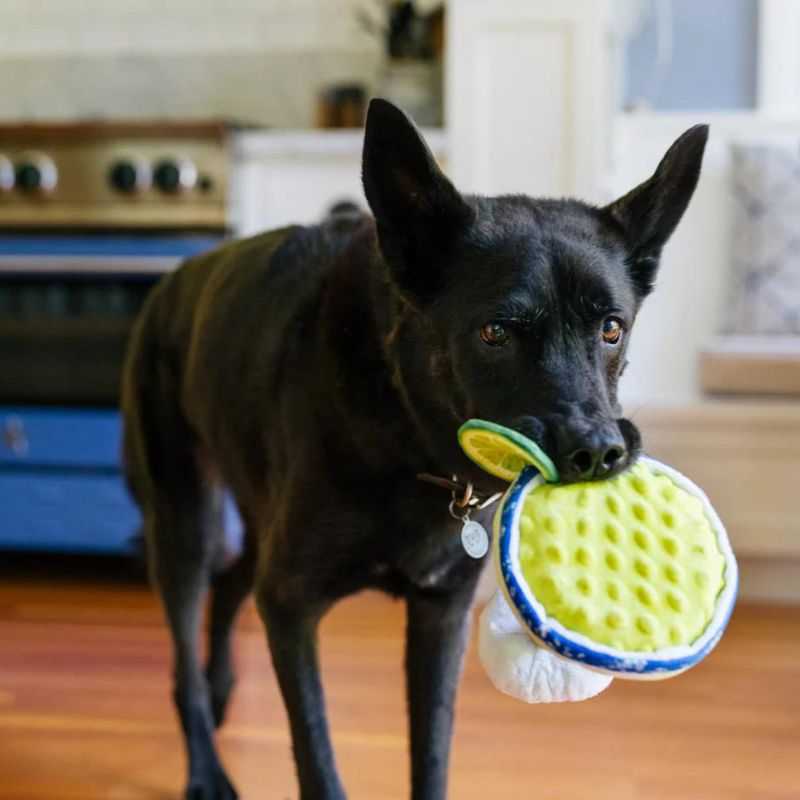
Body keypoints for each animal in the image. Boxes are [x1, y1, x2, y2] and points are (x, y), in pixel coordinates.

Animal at [120, 101, 708, 800]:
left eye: (612, 329)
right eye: (495, 332)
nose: (596, 452)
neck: (409, 437)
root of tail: (172, 282)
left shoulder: (439, 614)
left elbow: (432, 749)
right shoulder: (291, 607)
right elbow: (316, 756)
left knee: (235, 581)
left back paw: (220, 692)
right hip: (183, 523)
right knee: (188, 637)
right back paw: (205, 764)